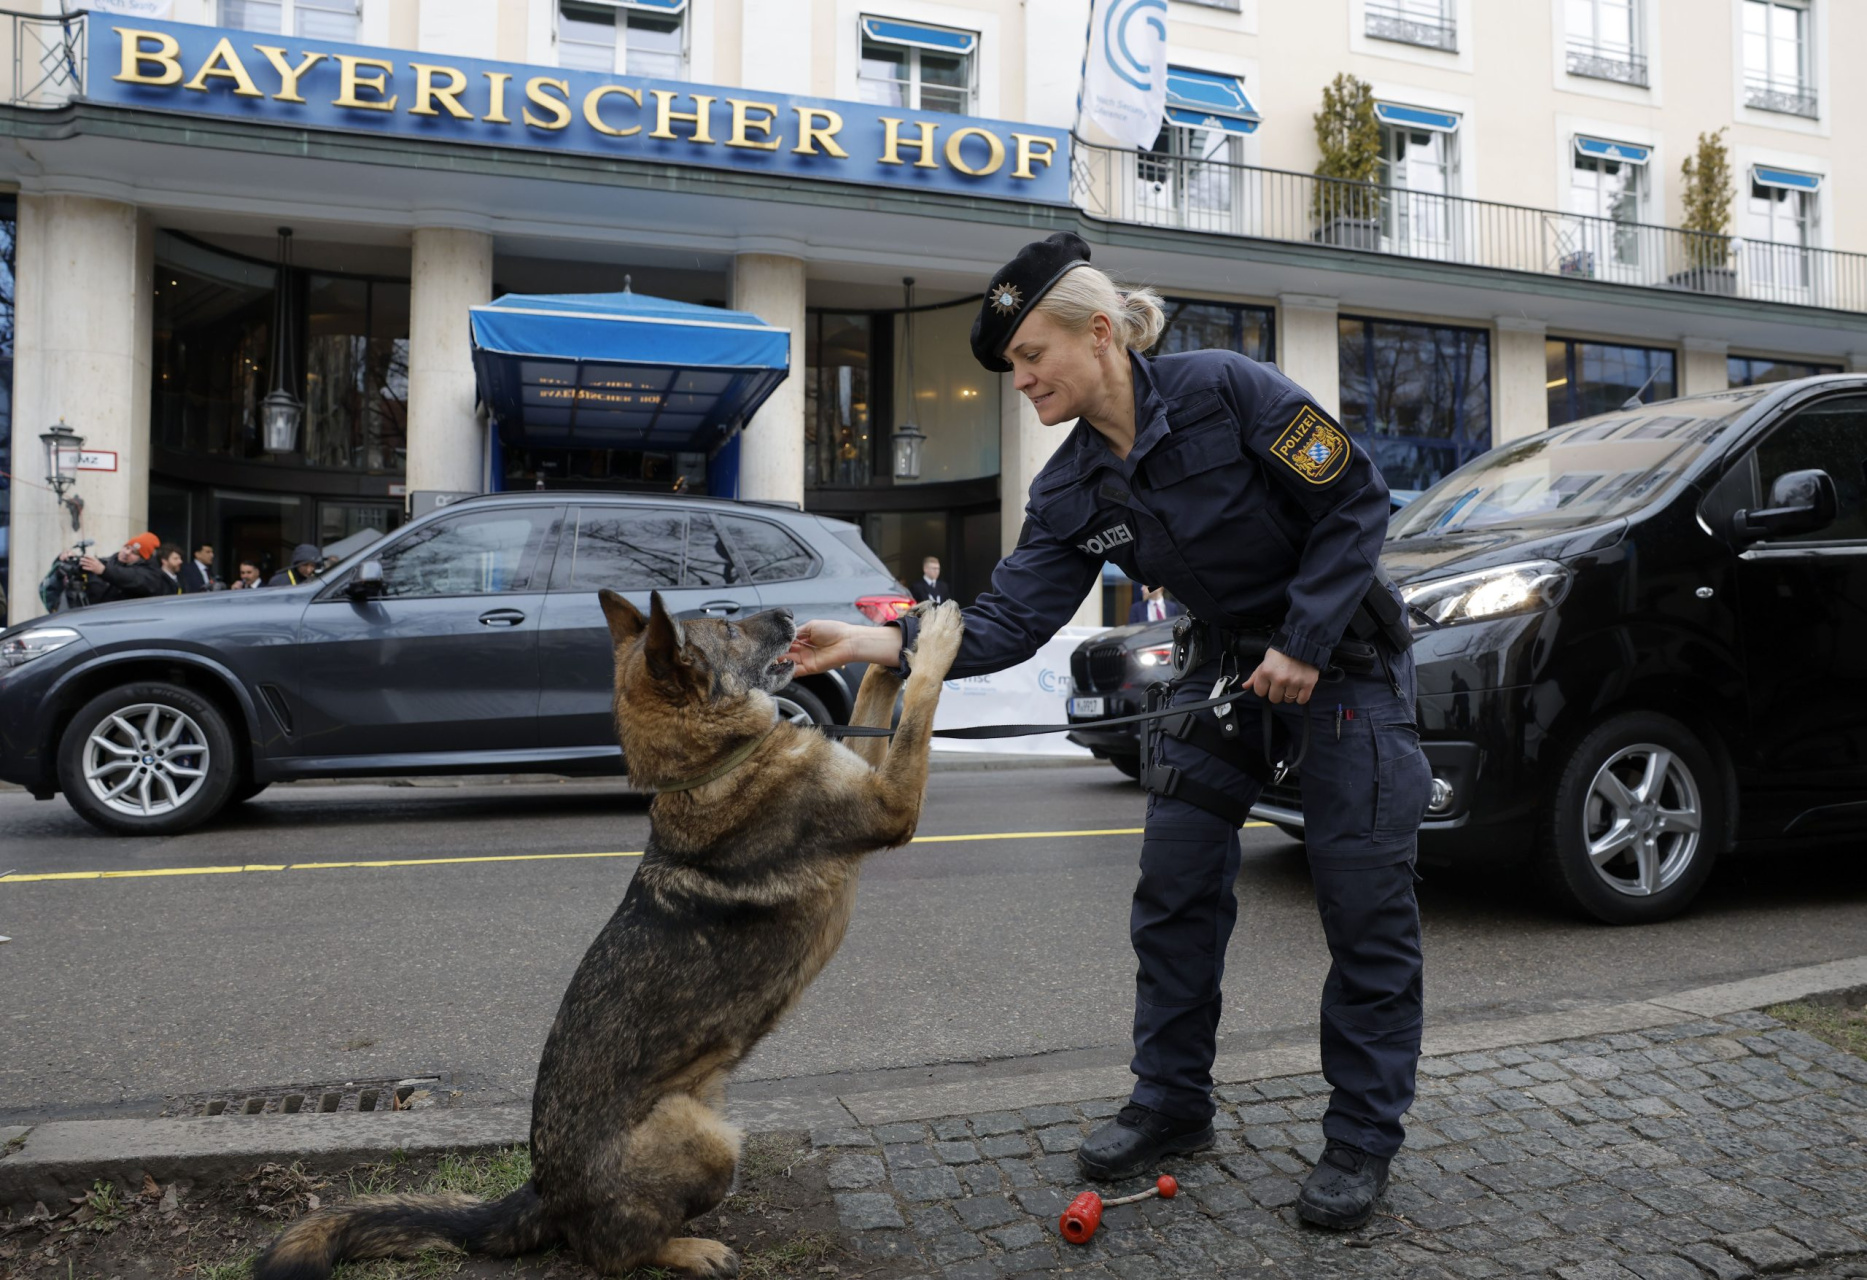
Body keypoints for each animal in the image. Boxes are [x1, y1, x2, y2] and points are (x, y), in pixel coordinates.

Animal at [255, 597, 963, 1276]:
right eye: (729, 630)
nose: (792, 617)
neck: (713, 765)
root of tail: (546, 1193)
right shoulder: (892, 806)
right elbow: (919, 712)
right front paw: (934, 642)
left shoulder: (867, 775)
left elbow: (878, 702)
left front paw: (892, 644)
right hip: (707, 1137)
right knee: (610, 1252)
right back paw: (691, 1250)